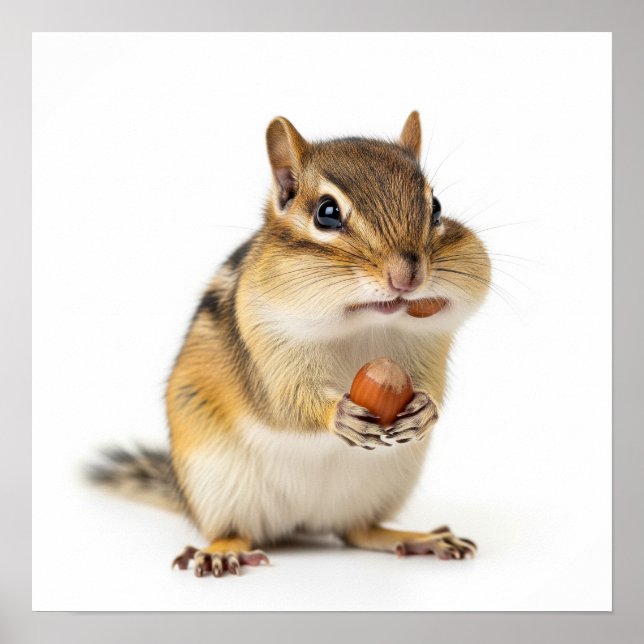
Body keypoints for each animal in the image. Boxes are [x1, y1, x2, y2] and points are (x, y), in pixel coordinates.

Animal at [89, 111, 491, 577]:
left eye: (437, 207)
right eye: (327, 213)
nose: (407, 276)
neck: (368, 321)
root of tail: (303, 521)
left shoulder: (429, 347)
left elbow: (433, 387)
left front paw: (424, 409)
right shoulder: (267, 347)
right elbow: (284, 402)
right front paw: (337, 415)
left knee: (360, 530)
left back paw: (422, 539)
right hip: (218, 487)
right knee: (237, 530)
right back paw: (222, 550)